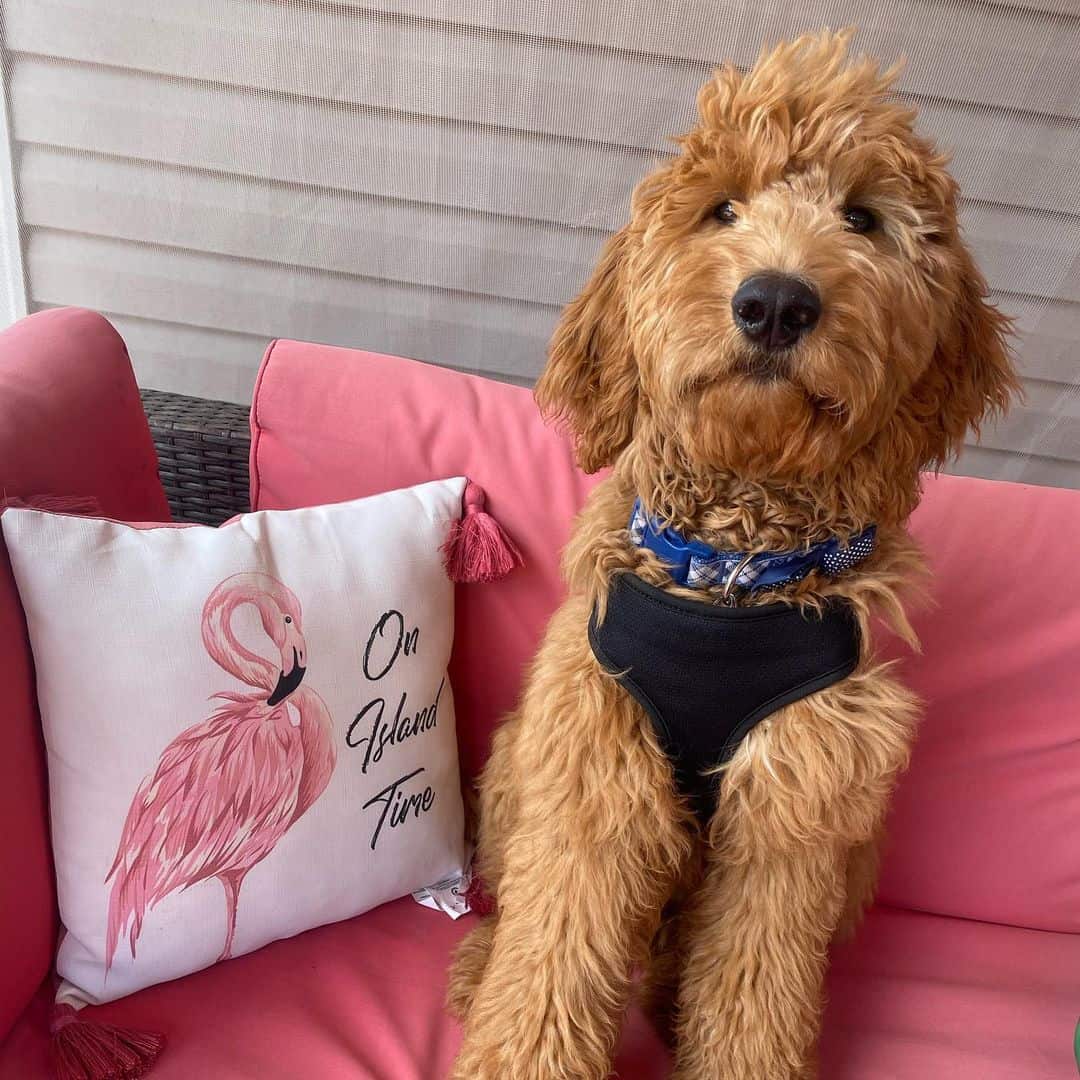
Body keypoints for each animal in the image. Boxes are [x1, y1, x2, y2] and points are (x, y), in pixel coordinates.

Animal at [444, 29, 1010, 1075]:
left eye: (863, 218)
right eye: (722, 208)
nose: (777, 302)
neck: (732, 574)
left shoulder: (800, 803)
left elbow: (755, 985)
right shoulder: (593, 769)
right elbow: (549, 962)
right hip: (513, 769)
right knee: (512, 920)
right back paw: (473, 967)